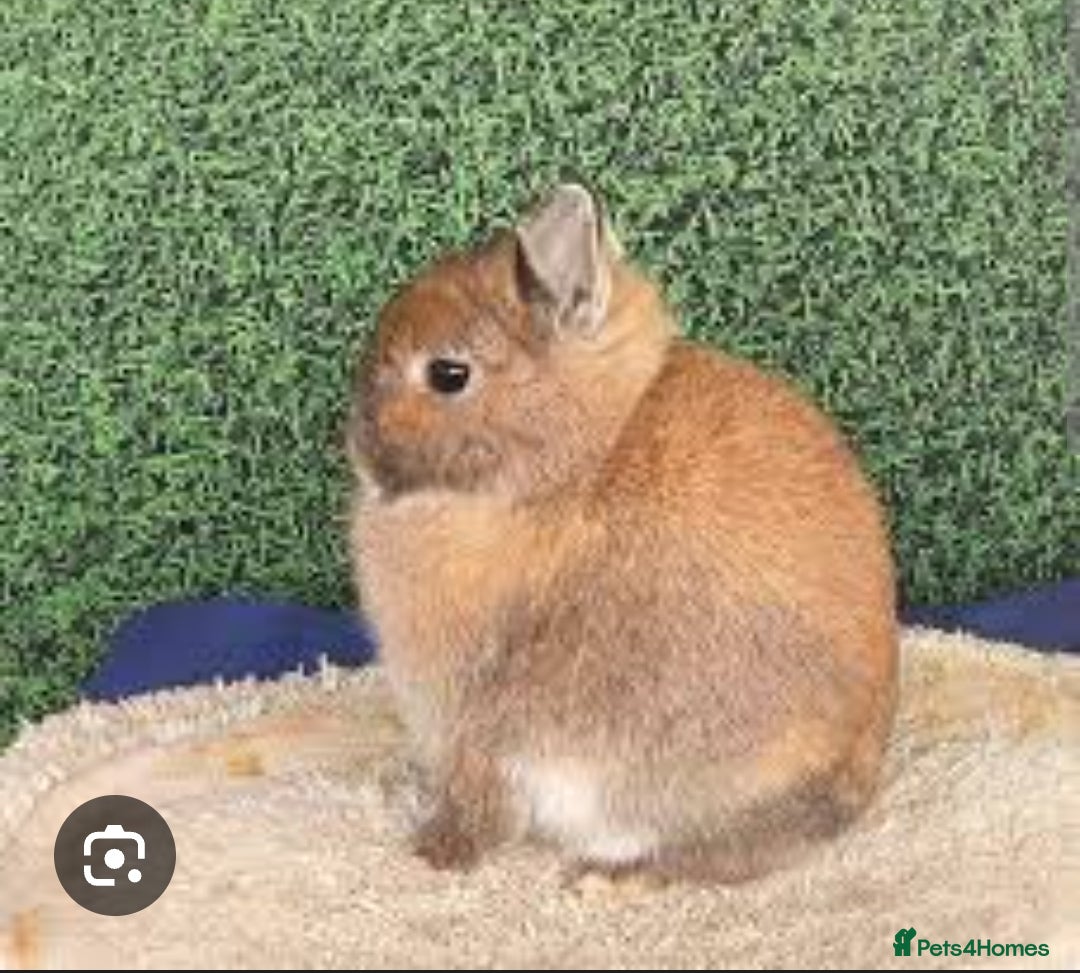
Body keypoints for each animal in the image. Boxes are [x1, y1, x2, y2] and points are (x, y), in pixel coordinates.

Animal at [346, 183, 898, 885]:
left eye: (448, 374)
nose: (359, 444)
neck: (564, 472)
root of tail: (851, 792)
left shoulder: (478, 724)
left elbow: (479, 799)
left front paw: (435, 853)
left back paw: (605, 876)